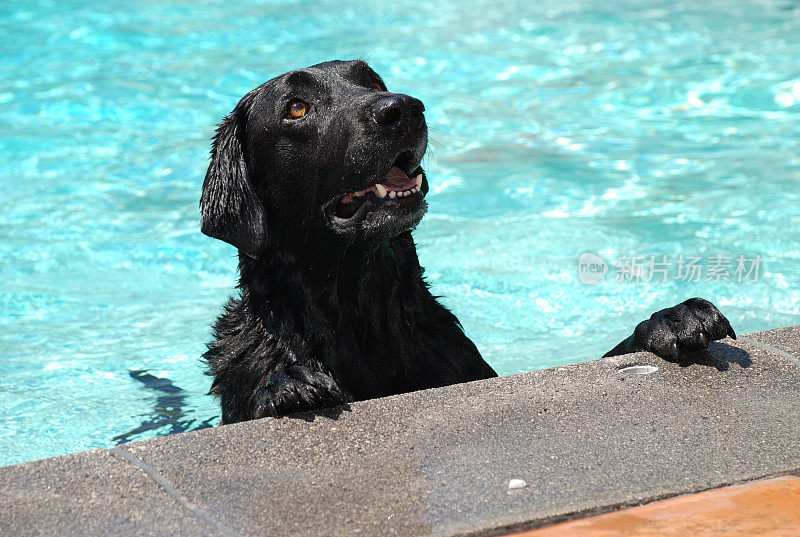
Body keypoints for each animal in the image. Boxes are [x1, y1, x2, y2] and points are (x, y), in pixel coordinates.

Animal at [198, 59, 732, 422]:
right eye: (297, 107)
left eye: (373, 82)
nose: (402, 108)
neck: (361, 315)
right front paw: (286, 385)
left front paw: (672, 319)